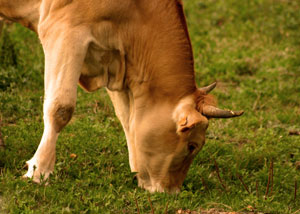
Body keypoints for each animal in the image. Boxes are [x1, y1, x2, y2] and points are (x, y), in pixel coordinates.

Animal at [0, 0, 244, 193]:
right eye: (192, 146)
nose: (171, 192)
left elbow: (126, 118)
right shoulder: (64, 29)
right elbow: (60, 108)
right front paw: (38, 171)